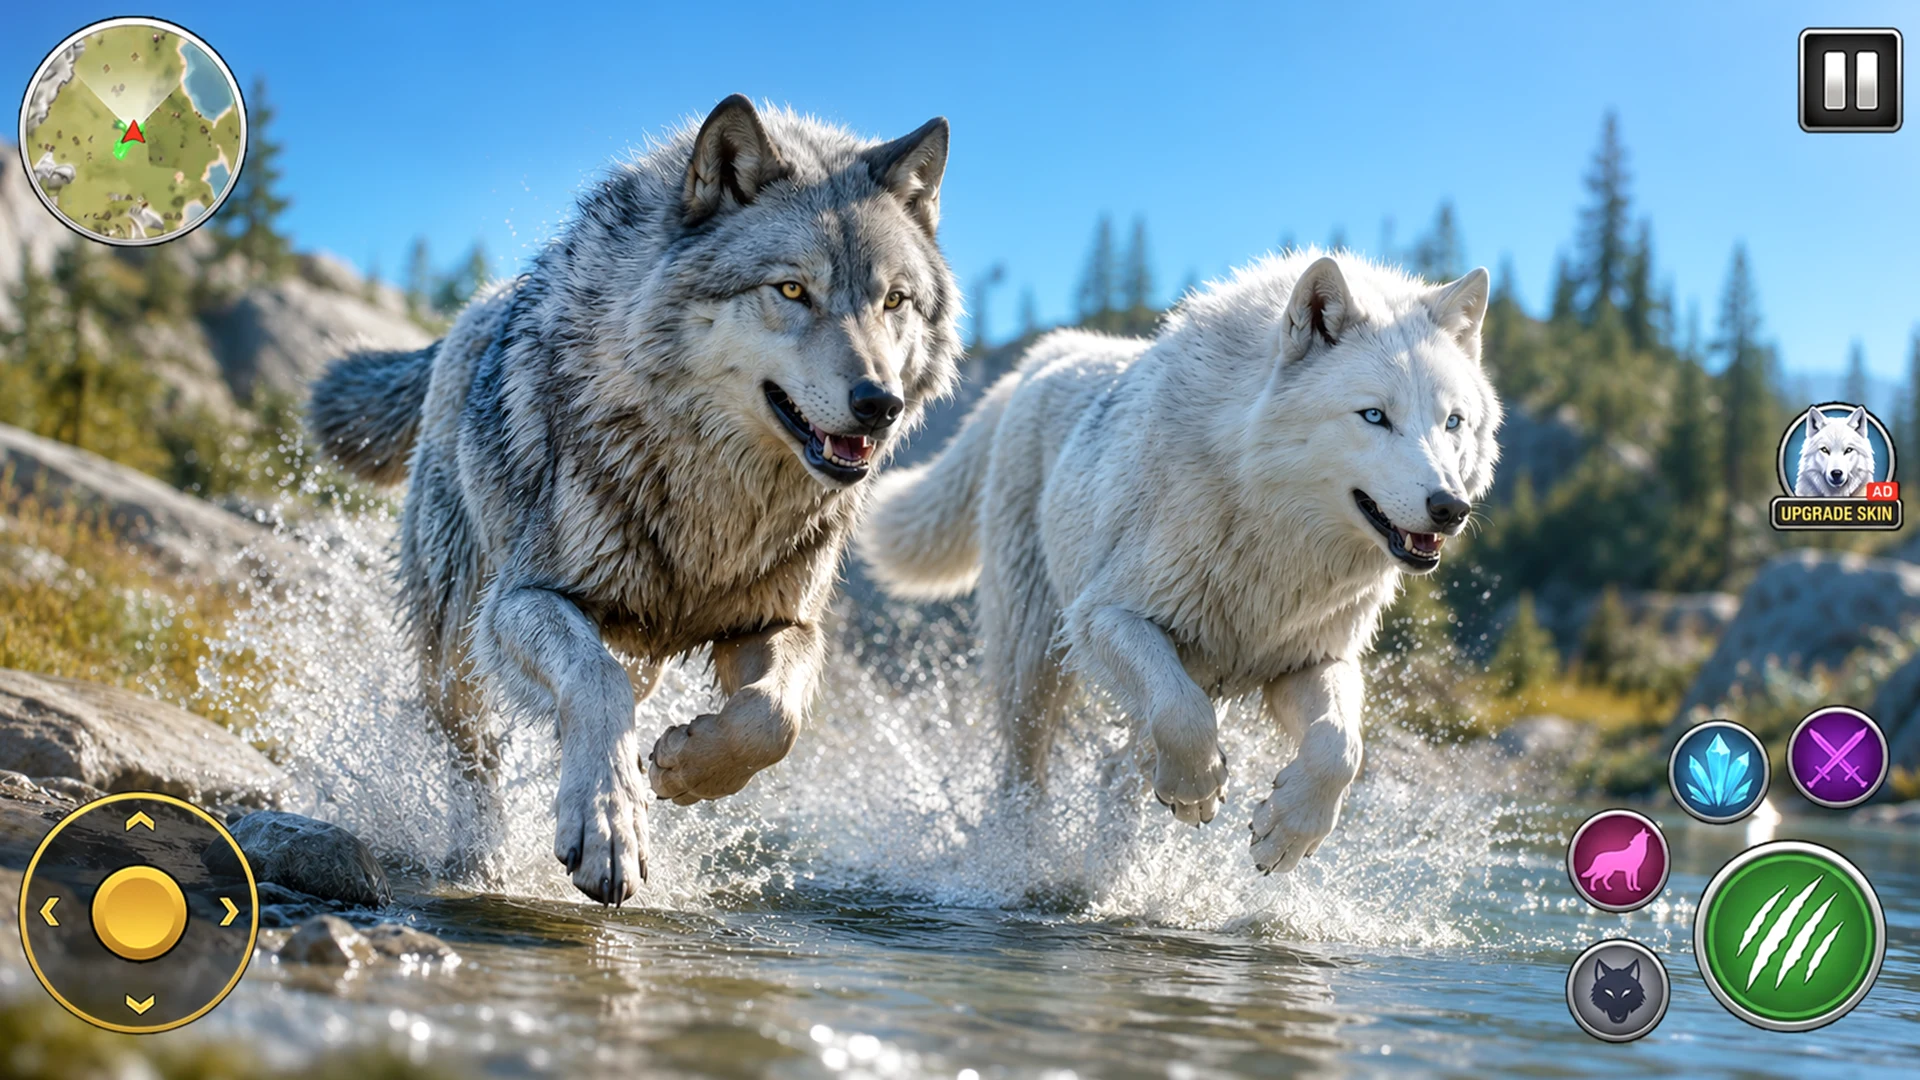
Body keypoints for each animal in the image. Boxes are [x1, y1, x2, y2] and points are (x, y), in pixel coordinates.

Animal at [308, 96, 962, 903]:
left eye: (894, 301)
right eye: (791, 291)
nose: (880, 405)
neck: (716, 496)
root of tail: (474, 309)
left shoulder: (779, 621)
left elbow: (772, 719)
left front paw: (688, 766)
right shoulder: (522, 598)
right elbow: (594, 683)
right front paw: (607, 826)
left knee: (631, 683)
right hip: (455, 647)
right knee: (478, 753)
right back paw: (483, 862)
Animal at [858, 251, 1500, 872]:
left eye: (1453, 422)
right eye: (1374, 416)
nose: (1450, 508)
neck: (1271, 532)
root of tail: (1045, 355)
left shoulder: (1311, 659)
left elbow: (1341, 748)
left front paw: (1287, 833)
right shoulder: (1102, 615)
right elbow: (1182, 715)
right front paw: (1199, 788)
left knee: (1118, 770)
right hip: (1033, 663)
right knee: (1025, 773)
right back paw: (1021, 855)